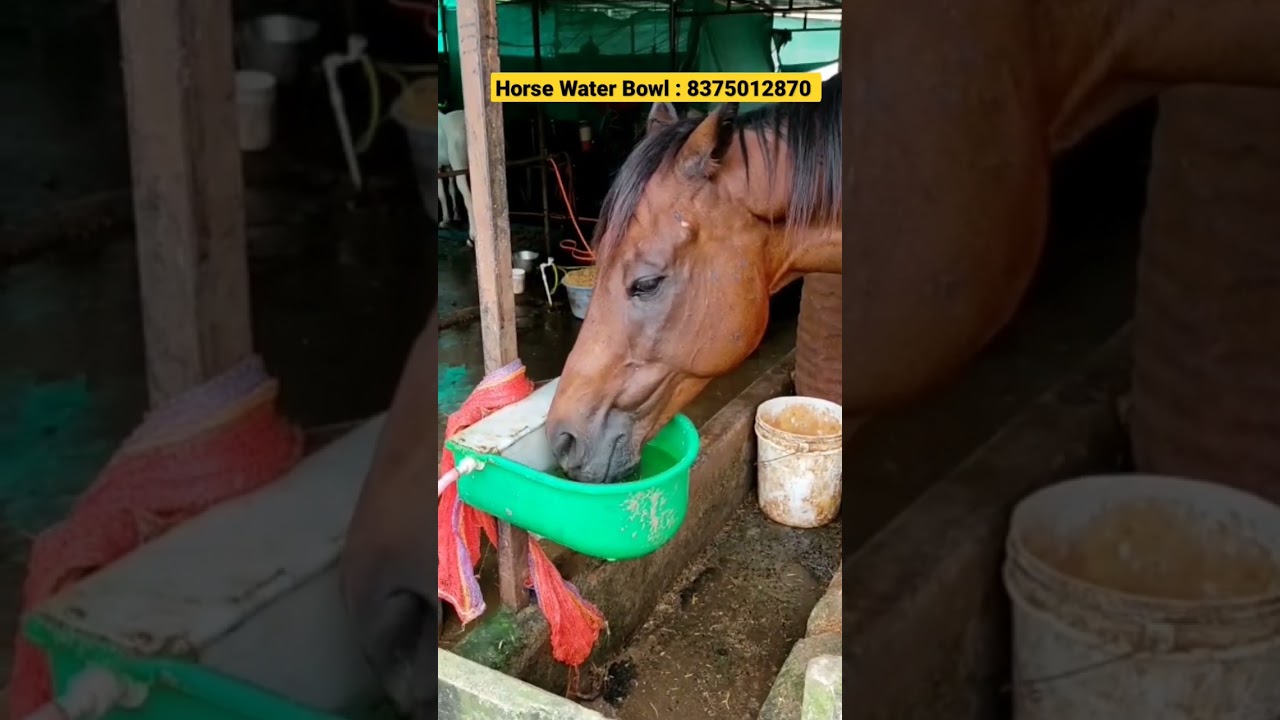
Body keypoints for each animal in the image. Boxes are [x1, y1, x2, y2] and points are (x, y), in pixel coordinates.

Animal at [437, 108, 475, 244]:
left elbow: (441, 194)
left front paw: (445, 220)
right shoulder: (449, 167)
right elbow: (451, 190)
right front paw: (456, 216)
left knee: (468, 197)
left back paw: (472, 236)